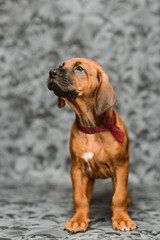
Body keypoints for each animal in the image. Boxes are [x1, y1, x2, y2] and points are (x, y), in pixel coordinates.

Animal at [47, 57, 136, 232]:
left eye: (79, 68)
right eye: (61, 65)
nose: (51, 72)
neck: (92, 128)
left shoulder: (121, 167)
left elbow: (119, 196)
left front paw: (122, 219)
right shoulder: (76, 168)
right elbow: (79, 197)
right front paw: (78, 219)